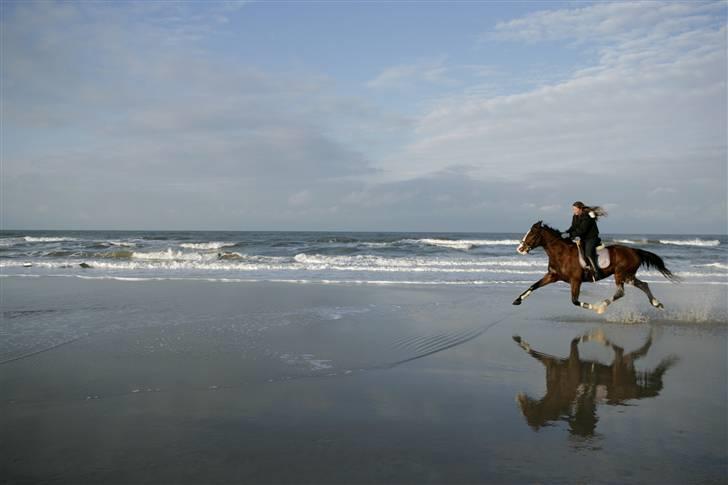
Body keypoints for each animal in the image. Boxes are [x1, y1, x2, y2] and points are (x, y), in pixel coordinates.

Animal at [512, 220, 676, 312]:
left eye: (532, 234)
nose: (520, 248)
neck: (561, 253)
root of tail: (634, 250)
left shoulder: (575, 280)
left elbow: (575, 301)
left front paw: (595, 307)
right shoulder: (552, 276)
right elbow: (534, 286)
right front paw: (517, 300)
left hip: (621, 274)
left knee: (621, 292)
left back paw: (602, 306)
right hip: (628, 276)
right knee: (643, 284)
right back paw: (657, 303)